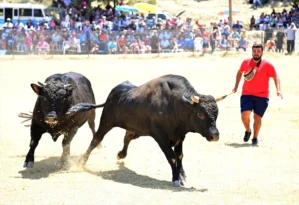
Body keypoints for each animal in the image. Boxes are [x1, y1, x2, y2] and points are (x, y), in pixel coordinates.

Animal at [67, 74, 227, 187]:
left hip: (135, 129)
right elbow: (172, 157)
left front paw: (182, 176)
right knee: (96, 140)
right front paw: (176, 179)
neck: (175, 104)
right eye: (200, 114)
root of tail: (112, 95)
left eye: (217, 113)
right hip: (106, 122)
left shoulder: (180, 136)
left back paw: (121, 154)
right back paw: (81, 162)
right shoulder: (161, 137)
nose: (214, 135)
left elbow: (180, 156)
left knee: (126, 139)